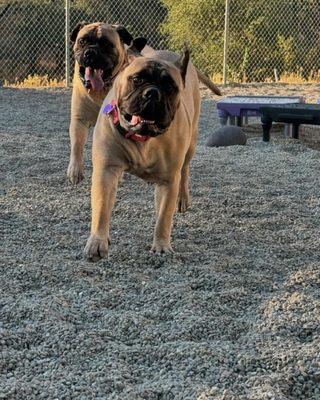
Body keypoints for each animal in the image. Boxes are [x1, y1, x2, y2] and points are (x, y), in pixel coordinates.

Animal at [84, 48, 200, 260]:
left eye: (169, 86)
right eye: (137, 79)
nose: (152, 93)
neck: (142, 137)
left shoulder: (168, 181)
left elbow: (164, 217)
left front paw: (161, 245)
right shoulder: (106, 171)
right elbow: (102, 209)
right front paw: (97, 241)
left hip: (190, 146)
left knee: (184, 171)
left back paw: (181, 198)